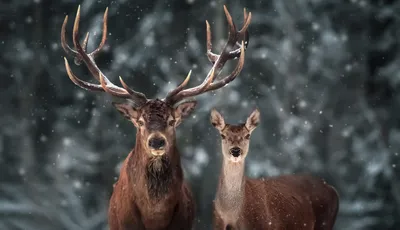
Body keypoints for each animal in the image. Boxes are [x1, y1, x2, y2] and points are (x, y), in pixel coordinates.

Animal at [211, 108, 340, 229]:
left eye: (247, 135)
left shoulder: (262, 225)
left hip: (324, 222)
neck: (232, 213)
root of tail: (331, 188)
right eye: (223, 135)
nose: (235, 151)